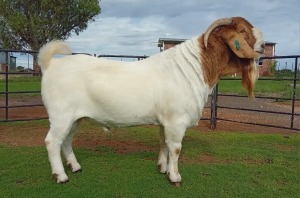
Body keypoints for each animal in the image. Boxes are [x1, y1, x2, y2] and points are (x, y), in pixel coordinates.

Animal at [38, 16, 264, 185]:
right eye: (242, 30)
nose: (263, 45)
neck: (194, 67)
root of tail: (51, 65)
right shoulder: (176, 120)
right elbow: (175, 148)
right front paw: (175, 177)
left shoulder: (165, 121)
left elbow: (163, 143)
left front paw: (162, 168)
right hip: (61, 115)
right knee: (52, 141)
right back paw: (61, 176)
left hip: (75, 118)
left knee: (66, 140)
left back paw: (75, 167)